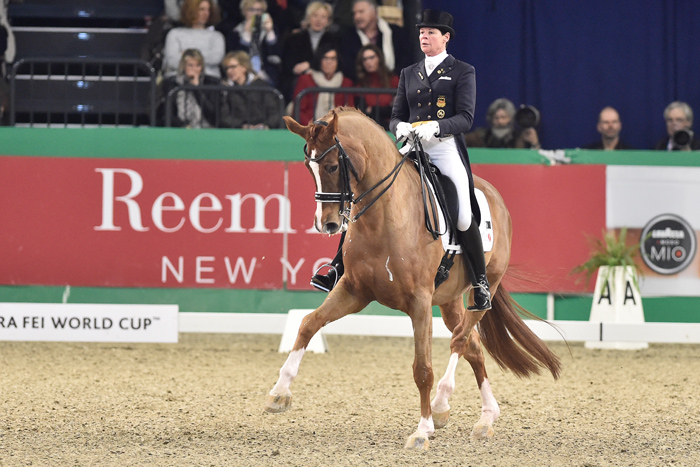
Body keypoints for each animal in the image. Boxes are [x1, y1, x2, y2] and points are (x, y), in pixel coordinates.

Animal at [265, 107, 561, 450]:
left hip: (483, 289)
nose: (326, 225)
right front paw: (279, 393)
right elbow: (308, 324)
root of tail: (494, 195)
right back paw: (485, 418)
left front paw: (422, 431)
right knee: (473, 346)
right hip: (449, 300)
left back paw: (442, 405)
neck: (383, 218)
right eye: (307, 167)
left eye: (332, 165)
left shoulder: (419, 302)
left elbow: (422, 369)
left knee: (461, 339)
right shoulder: (353, 291)